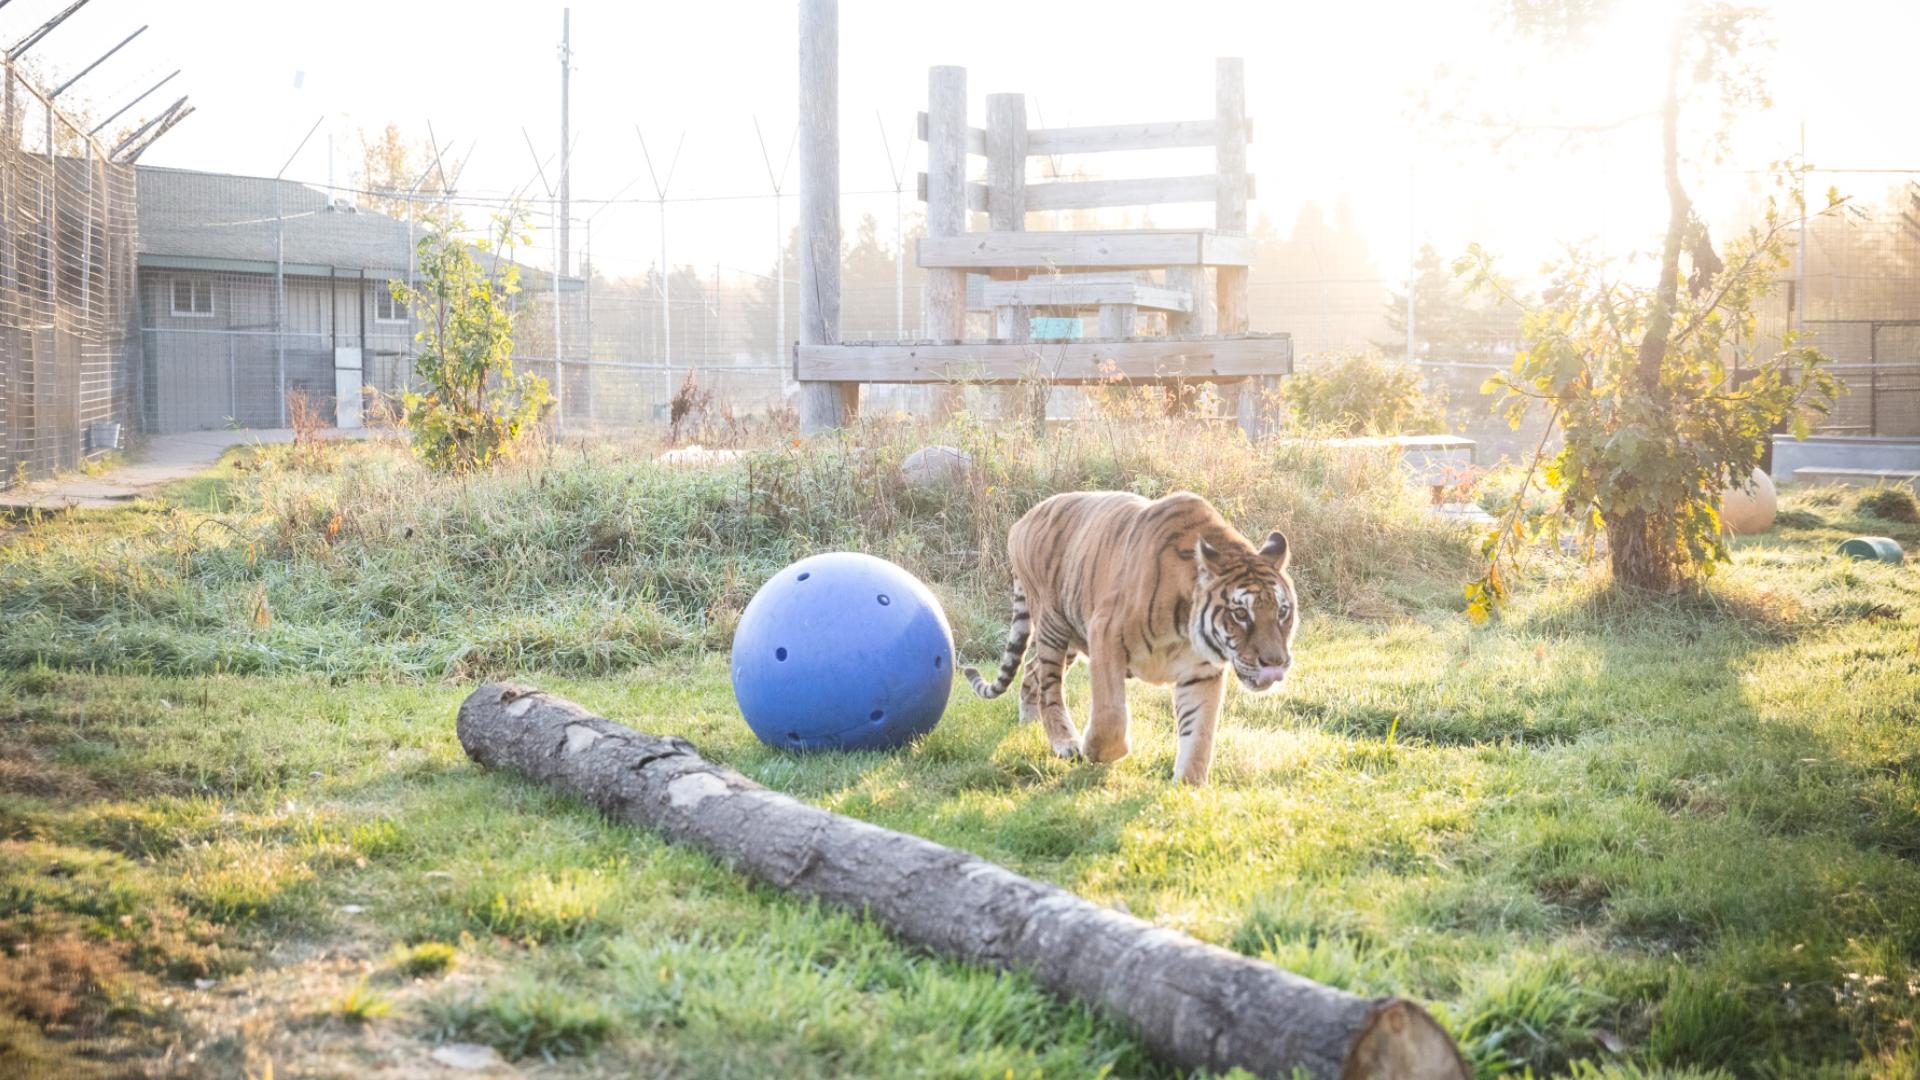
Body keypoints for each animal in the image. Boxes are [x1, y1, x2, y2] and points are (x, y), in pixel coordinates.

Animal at [964, 490, 1298, 786]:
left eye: (1282, 611)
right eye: (1240, 613)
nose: (1275, 662)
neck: (1184, 628)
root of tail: (1022, 521)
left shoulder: (1201, 671)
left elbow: (1199, 732)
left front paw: (1188, 787)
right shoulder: (1105, 634)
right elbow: (1110, 715)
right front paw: (1096, 751)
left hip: (1071, 638)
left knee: (1032, 669)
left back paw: (1029, 720)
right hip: (1053, 625)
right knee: (1050, 687)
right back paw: (1065, 742)